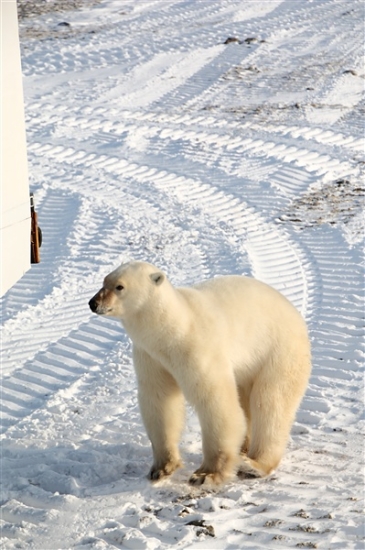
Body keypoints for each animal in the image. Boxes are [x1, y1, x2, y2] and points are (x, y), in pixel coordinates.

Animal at [89, 264, 310, 488]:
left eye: (119, 286)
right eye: (104, 282)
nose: (93, 303)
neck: (172, 330)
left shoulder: (198, 347)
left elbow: (214, 400)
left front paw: (206, 474)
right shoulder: (151, 357)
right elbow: (159, 400)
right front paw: (161, 468)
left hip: (278, 351)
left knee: (270, 403)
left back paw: (254, 464)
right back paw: (243, 450)